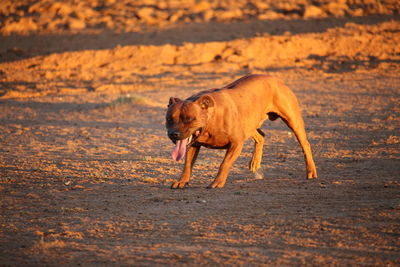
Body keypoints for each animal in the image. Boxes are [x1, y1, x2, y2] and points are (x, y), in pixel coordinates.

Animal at [164, 74, 318, 189]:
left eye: (190, 119)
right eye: (169, 119)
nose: (174, 134)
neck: (211, 119)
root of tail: (276, 79)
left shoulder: (236, 144)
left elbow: (224, 164)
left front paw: (217, 182)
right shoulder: (193, 145)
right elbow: (187, 165)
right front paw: (182, 181)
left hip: (293, 121)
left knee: (305, 145)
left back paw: (311, 171)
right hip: (249, 124)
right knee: (261, 136)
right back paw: (255, 162)